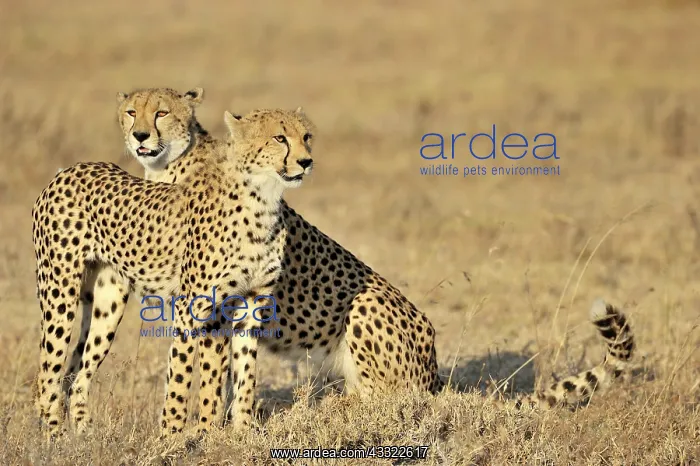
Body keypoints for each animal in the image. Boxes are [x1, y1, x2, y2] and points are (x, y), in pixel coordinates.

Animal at [32, 104, 316, 438]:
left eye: (306, 136)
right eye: (279, 138)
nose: (306, 161)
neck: (263, 200)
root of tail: (71, 169)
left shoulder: (250, 303)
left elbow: (244, 373)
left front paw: (242, 432)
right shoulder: (193, 306)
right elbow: (182, 372)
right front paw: (173, 435)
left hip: (107, 304)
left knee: (79, 371)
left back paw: (84, 433)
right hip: (59, 293)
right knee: (48, 371)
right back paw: (54, 435)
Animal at [102, 88, 638, 437]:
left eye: (305, 138)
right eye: (132, 112)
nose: (306, 162)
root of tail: (433, 373)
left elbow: (209, 372)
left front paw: (194, 434)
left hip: (367, 304)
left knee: (390, 400)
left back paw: (330, 410)